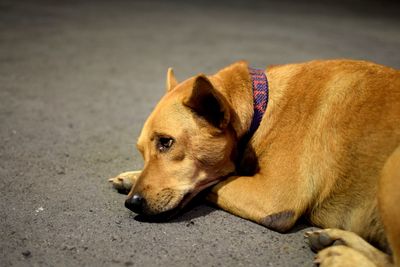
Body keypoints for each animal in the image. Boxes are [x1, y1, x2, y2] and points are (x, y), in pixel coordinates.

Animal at [109, 60, 400, 267]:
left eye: (166, 142)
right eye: (142, 151)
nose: (132, 203)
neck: (263, 107)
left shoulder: (273, 198)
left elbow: (219, 180)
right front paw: (132, 176)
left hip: (390, 172)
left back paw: (344, 256)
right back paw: (335, 239)